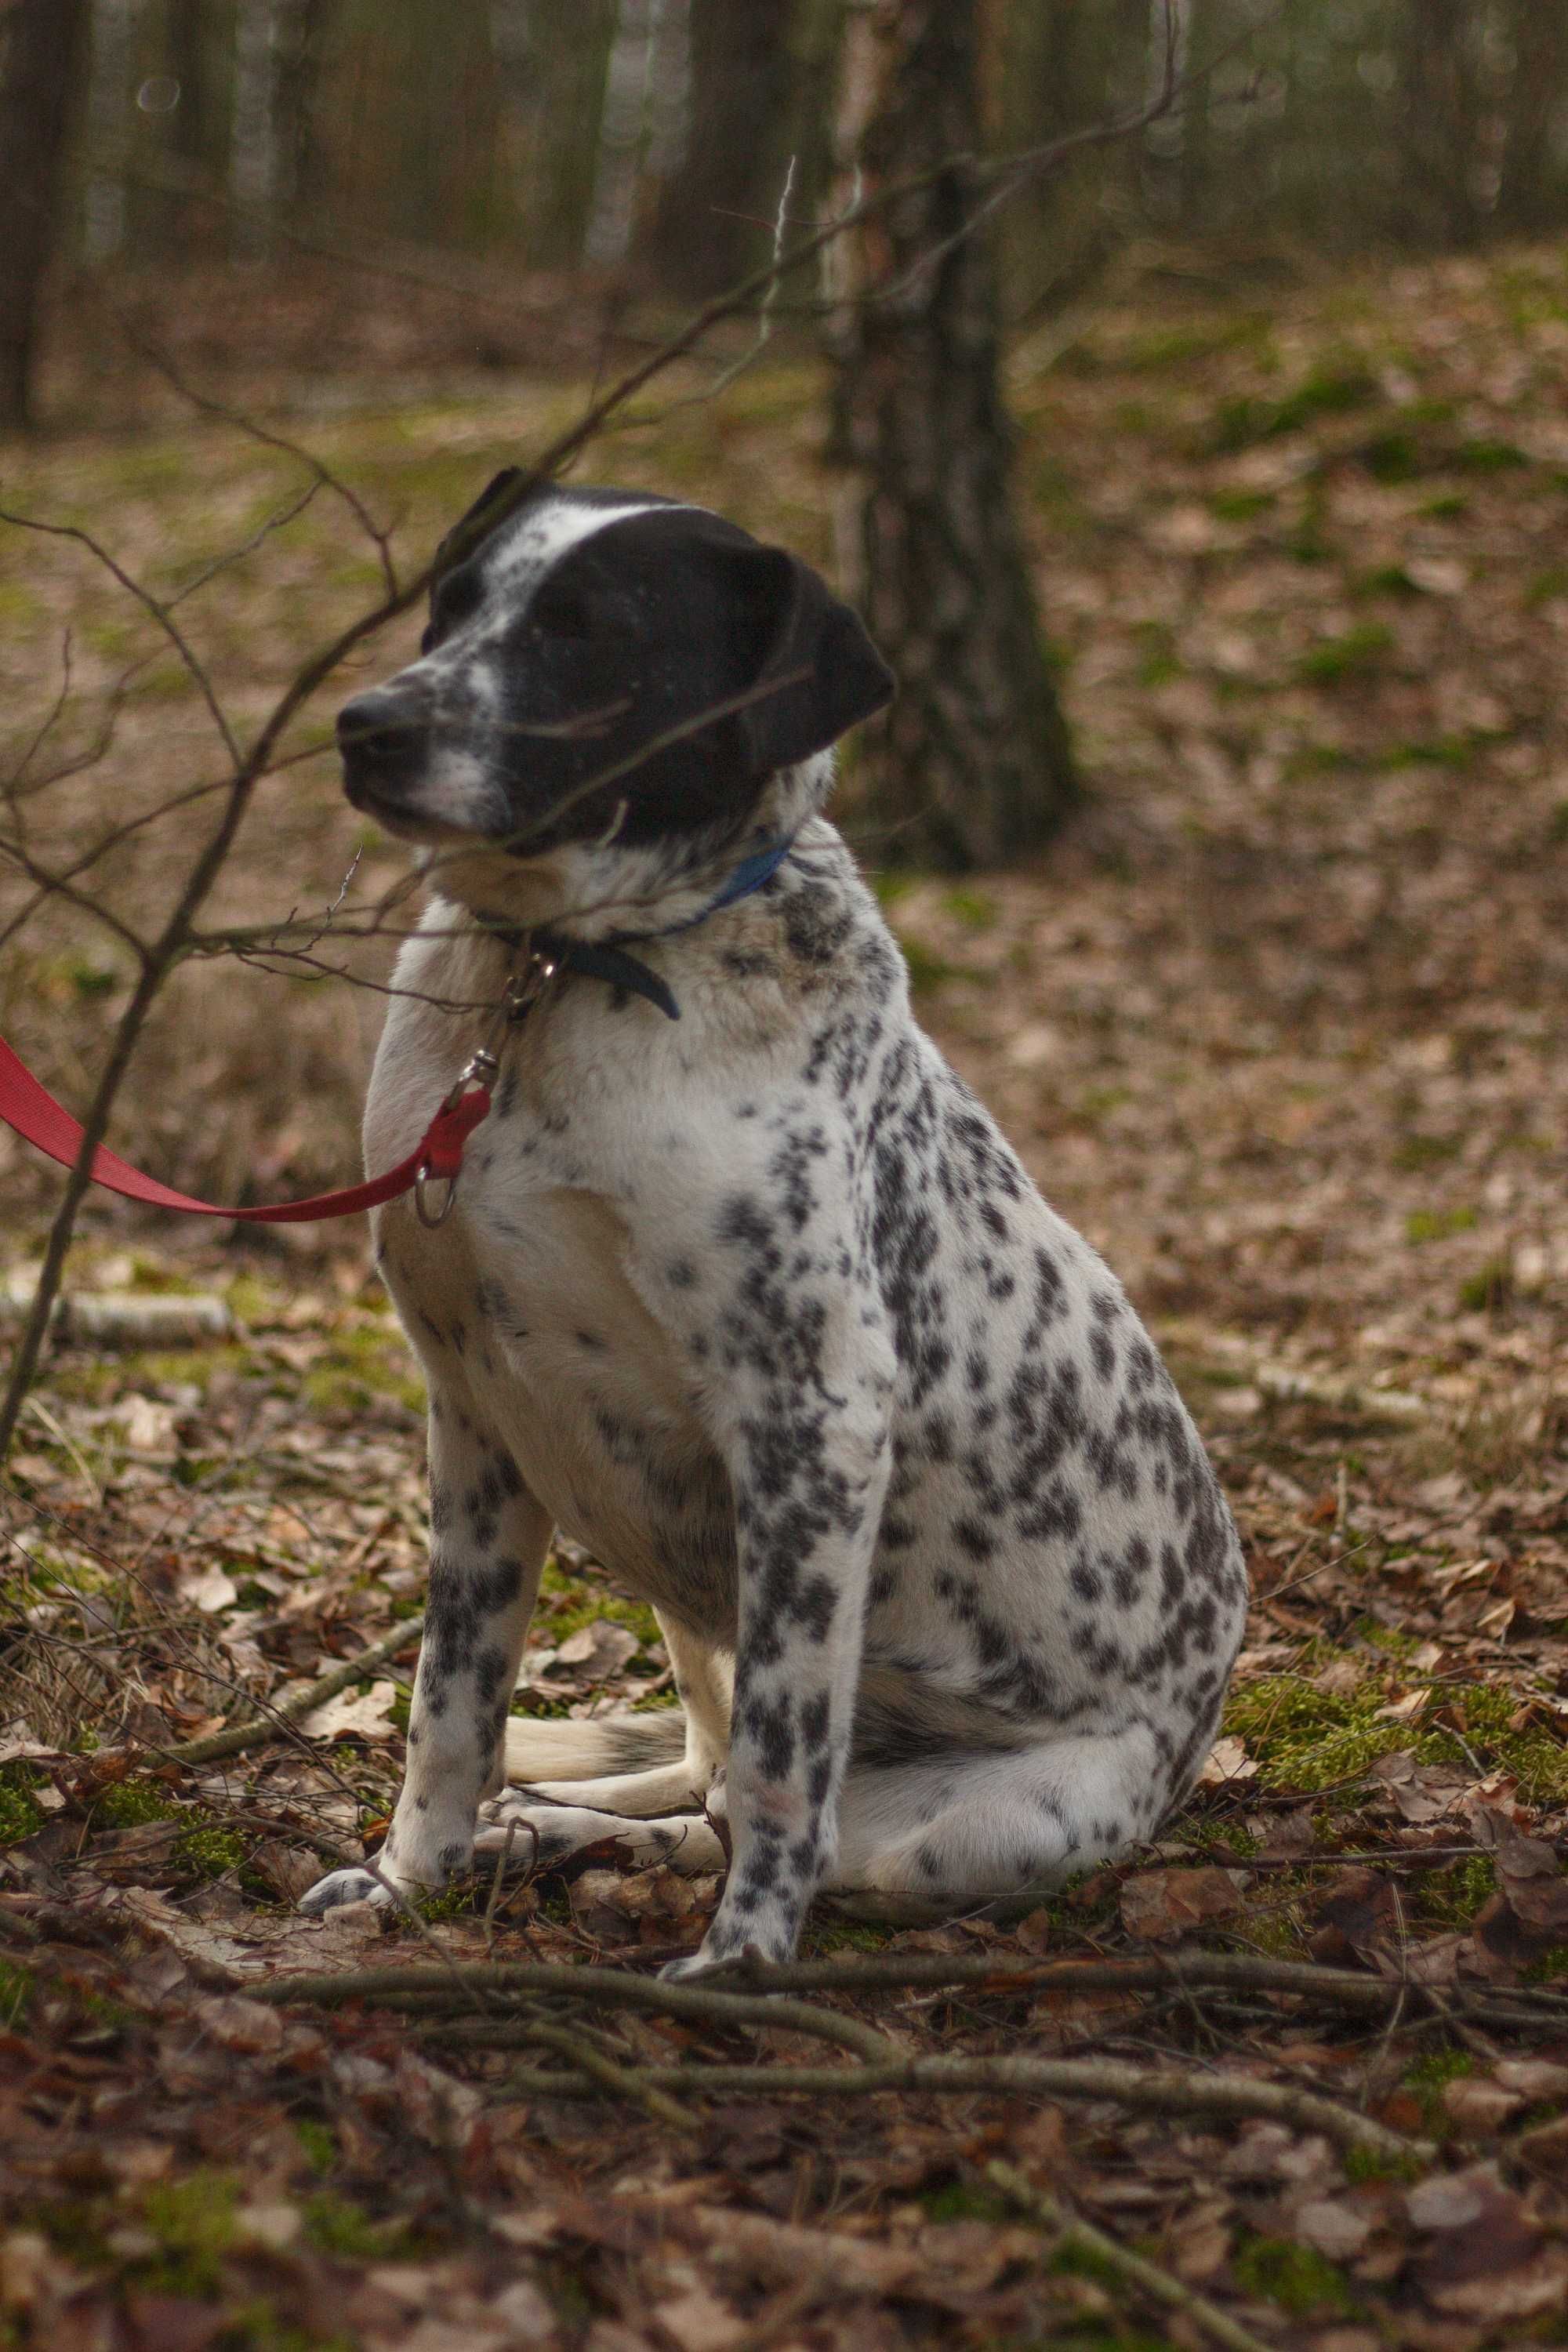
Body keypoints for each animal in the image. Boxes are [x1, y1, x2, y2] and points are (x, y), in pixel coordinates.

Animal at [297, 473, 1250, 1966]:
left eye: (589, 633)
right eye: (451, 604)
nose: (368, 723)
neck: (557, 984)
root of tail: (1199, 1722)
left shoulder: (814, 1423)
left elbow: (780, 1762)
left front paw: (738, 1966)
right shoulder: (477, 1415)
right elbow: (451, 1707)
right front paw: (412, 1882)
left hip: (977, 1828)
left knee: (765, 1810)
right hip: (688, 1611)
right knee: (692, 1787)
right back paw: (535, 1836)